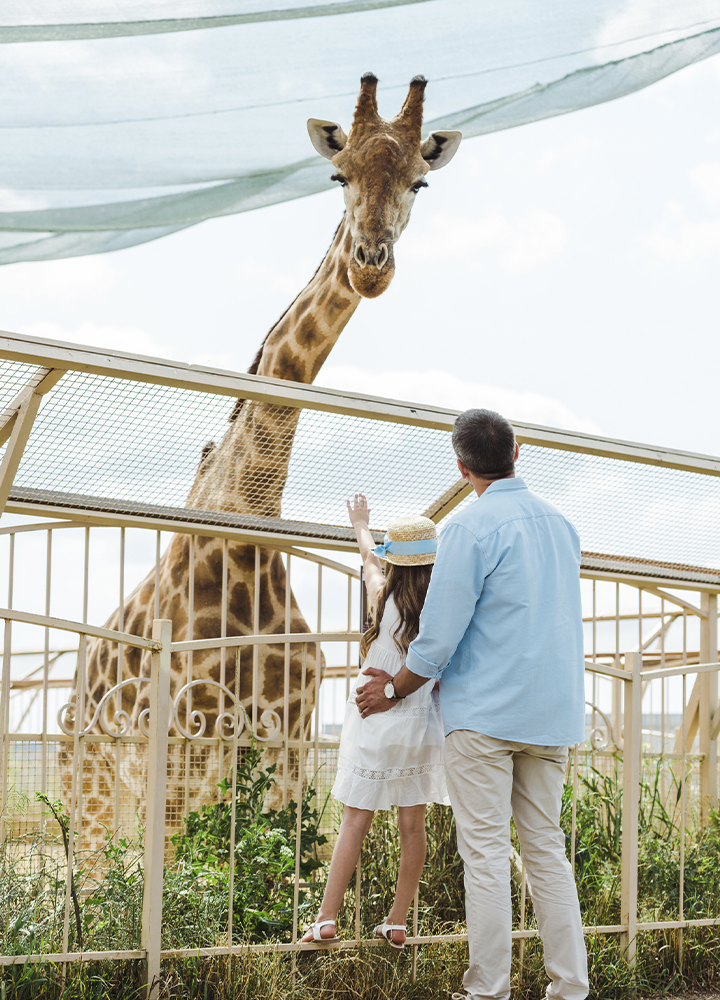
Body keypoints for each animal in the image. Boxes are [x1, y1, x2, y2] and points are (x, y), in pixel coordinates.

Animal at [62, 73, 461, 844]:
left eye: (420, 182)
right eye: (338, 174)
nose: (370, 266)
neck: (246, 516)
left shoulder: (285, 746)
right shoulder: (184, 747)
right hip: (89, 775)